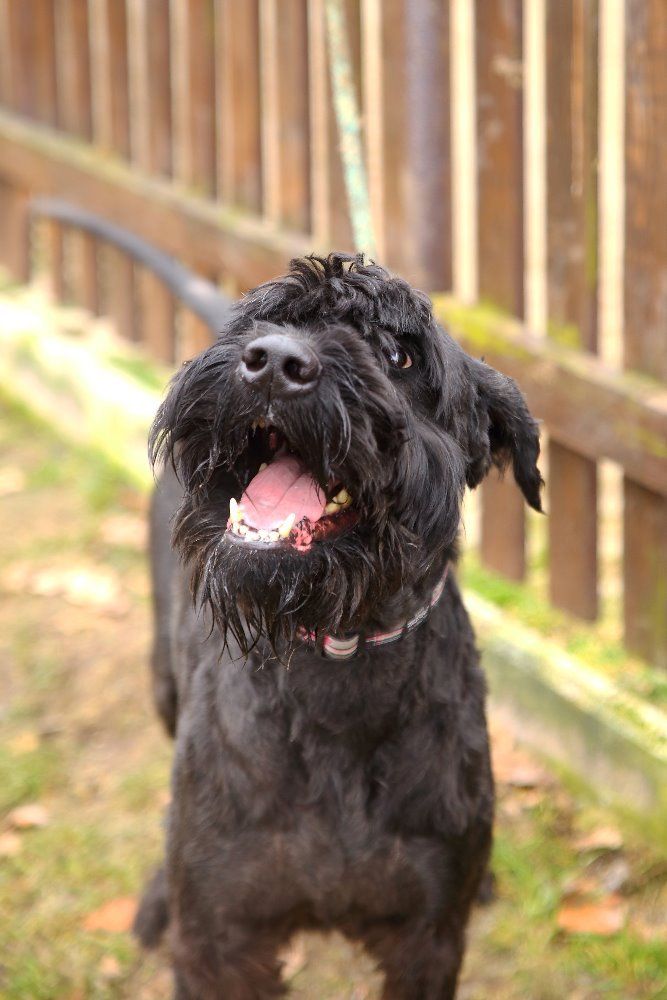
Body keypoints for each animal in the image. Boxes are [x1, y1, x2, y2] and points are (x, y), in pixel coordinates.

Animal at [135, 253, 542, 999]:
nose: (271, 361)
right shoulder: (219, 937)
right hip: (162, 683)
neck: (338, 658)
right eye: (271, 317)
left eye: (400, 354)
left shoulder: (428, 938)